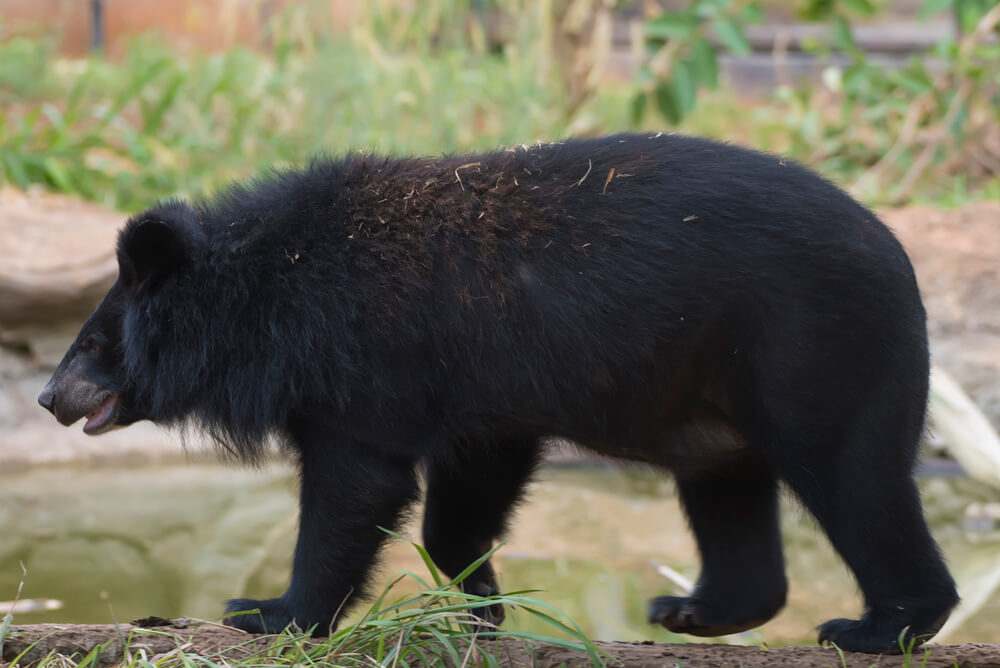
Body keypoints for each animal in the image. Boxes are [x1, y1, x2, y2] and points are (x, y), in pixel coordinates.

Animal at [39, 134, 956, 652]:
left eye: (93, 345)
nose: (48, 398)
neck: (273, 292)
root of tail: (903, 261)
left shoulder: (367, 364)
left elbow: (354, 490)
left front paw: (268, 614)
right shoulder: (483, 395)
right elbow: (465, 494)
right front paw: (484, 604)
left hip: (816, 350)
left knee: (858, 482)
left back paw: (881, 628)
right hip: (713, 395)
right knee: (730, 495)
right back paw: (693, 613)